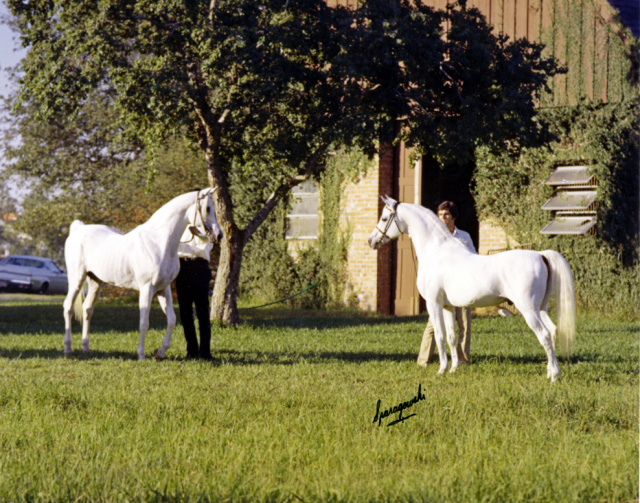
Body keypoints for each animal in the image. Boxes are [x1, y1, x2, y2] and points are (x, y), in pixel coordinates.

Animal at [62, 188, 222, 358]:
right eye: (207, 208)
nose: (219, 235)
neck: (158, 243)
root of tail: (78, 229)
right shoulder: (146, 288)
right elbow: (144, 323)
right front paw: (141, 355)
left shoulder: (163, 289)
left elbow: (171, 319)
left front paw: (160, 352)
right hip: (76, 280)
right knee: (68, 307)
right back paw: (68, 348)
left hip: (95, 282)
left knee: (87, 309)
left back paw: (86, 347)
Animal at [368, 197, 576, 382]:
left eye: (384, 218)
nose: (371, 241)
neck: (436, 251)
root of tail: (541, 255)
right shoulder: (448, 307)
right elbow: (452, 337)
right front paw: (453, 369)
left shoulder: (434, 304)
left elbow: (440, 336)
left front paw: (441, 370)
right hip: (541, 308)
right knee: (552, 331)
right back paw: (551, 371)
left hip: (528, 309)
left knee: (544, 335)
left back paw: (554, 376)